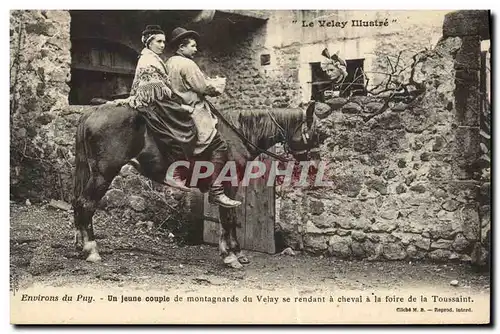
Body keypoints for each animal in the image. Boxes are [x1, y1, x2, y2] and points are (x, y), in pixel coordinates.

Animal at [69, 100, 328, 268]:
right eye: (317, 132)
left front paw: (235, 252)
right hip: (103, 175)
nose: (315, 164)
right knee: (86, 204)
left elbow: (229, 217)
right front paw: (231, 255)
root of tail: (92, 112)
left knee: (78, 204)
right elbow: (228, 217)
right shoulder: (228, 184)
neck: (238, 134)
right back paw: (91, 250)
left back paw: (80, 245)